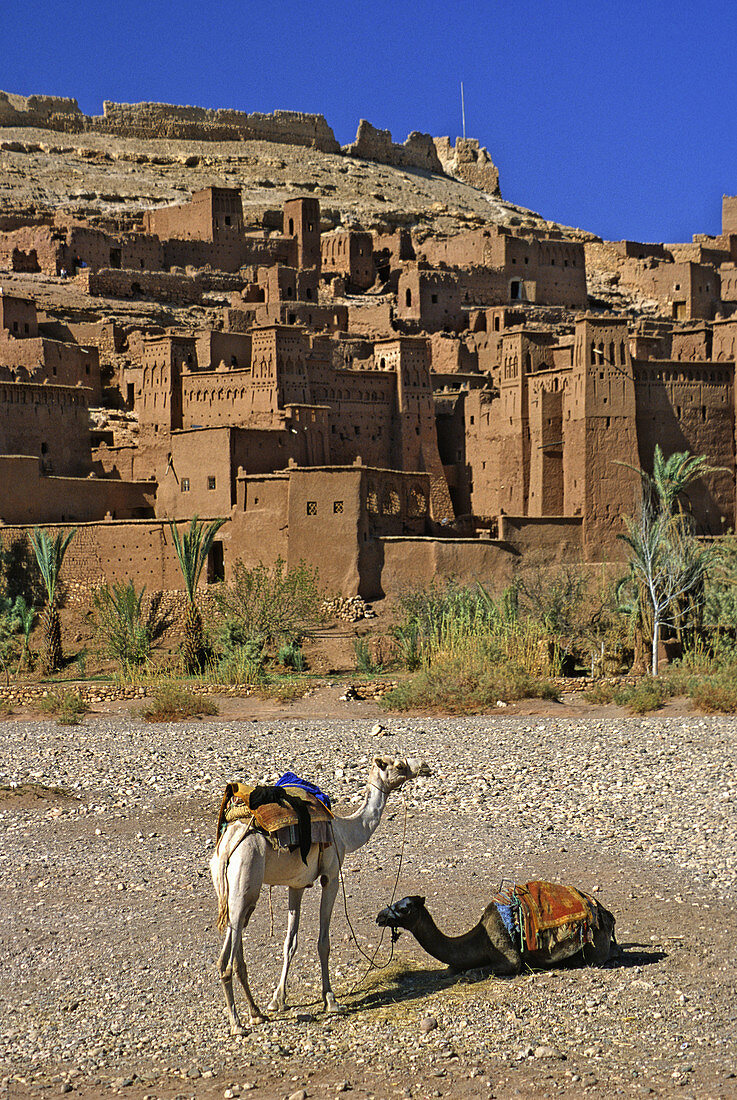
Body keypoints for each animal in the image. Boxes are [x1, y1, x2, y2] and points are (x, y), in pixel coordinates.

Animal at [209, 752, 426, 1034]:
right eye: (399, 765)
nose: (424, 766)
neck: (344, 832)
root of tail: (226, 847)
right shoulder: (330, 877)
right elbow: (323, 942)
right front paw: (331, 1001)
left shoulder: (297, 885)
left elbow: (290, 943)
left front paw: (277, 1001)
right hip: (244, 881)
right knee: (227, 959)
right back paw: (237, 1024)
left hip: (231, 890)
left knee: (235, 948)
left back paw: (256, 1013)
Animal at [378, 880, 620, 976]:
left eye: (405, 908)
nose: (380, 916)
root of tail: (605, 913)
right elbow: (451, 968)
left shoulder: (508, 955)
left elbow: (477, 970)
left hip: (595, 944)